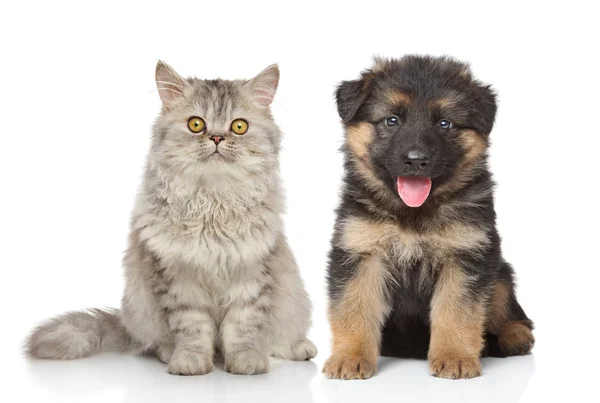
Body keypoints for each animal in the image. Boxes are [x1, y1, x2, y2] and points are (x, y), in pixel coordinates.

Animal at [27, 61, 318, 378]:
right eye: (196, 125)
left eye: (239, 127)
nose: (217, 138)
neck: (213, 203)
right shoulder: (178, 277)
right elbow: (192, 327)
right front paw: (190, 362)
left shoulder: (251, 271)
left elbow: (243, 326)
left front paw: (246, 362)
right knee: (153, 342)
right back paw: (169, 352)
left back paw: (300, 348)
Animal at [324, 55, 536, 380]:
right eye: (392, 120)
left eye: (444, 123)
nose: (416, 160)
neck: (413, 214)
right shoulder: (360, 253)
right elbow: (354, 307)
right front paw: (350, 357)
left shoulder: (467, 256)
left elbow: (456, 311)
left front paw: (455, 357)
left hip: (500, 272)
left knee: (513, 312)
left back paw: (515, 336)